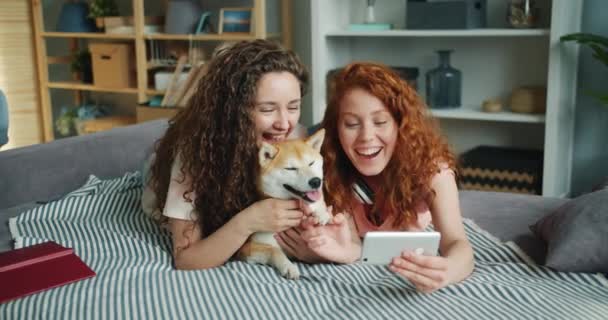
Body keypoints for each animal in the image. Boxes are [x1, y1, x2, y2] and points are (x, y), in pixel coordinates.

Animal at [239, 129, 332, 278]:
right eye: (291, 169)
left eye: (311, 163)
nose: (316, 181)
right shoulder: (248, 247)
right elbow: (274, 250)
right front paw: (288, 266)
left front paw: (321, 213)